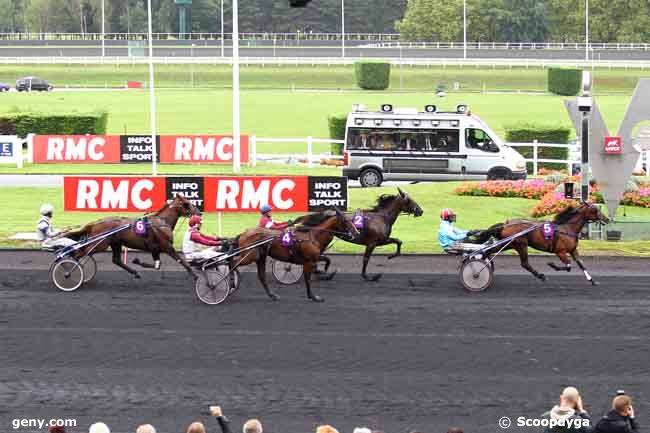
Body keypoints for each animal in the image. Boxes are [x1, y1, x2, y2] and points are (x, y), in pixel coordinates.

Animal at [65, 195, 200, 278]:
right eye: (187, 203)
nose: (199, 212)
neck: (161, 222)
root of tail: (96, 223)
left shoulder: (155, 248)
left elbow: (157, 265)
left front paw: (137, 261)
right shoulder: (167, 246)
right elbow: (181, 260)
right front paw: (194, 275)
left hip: (115, 243)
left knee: (116, 260)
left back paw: (135, 273)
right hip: (101, 244)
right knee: (80, 253)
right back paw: (69, 270)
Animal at [470, 202, 608, 286]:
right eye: (595, 209)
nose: (607, 219)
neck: (567, 228)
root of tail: (506, 223)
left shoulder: (573, 250)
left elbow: (581, 264)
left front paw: (592, 280)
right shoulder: (560, 251)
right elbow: (568, 266)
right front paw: (552, 265)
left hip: (509, 244)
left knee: (488, 251)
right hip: (521, 245)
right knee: (525, 263)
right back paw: (541, 276)